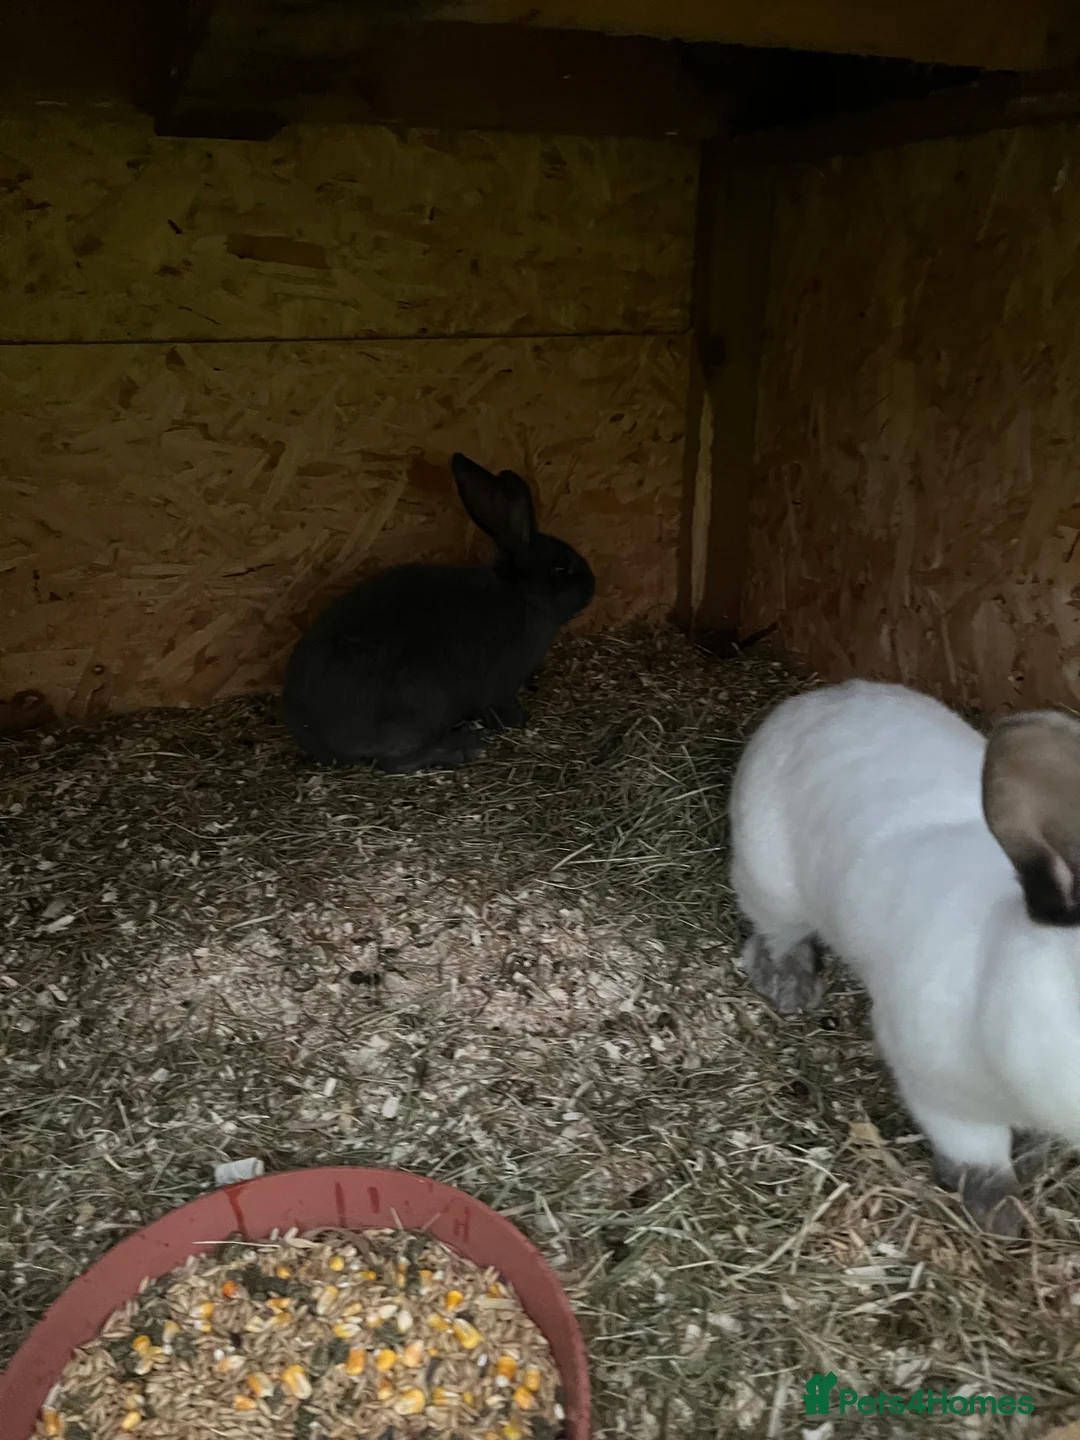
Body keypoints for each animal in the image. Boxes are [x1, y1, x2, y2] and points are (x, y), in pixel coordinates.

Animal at [281, 452, 595, 772]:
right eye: (560, 569)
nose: (592, 585)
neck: (521, 595)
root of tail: (316, 737)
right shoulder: (499, 687)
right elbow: (498, 708)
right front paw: (518, 720)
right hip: (419, 708)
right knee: (396, 762)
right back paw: (461, 748)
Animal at [728, 677, 1080, 1235]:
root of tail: (819, 699)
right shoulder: (934, 1088)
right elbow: (976, 1153)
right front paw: (999, 1215)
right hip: (768, 878)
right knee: (772, 934)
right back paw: (792, 987)